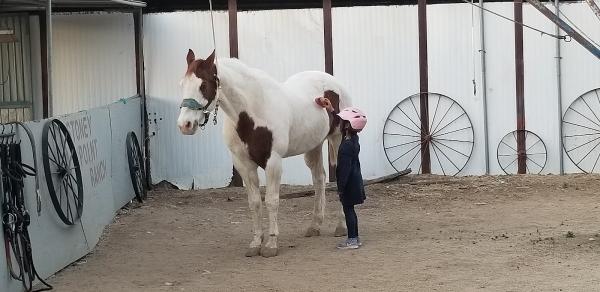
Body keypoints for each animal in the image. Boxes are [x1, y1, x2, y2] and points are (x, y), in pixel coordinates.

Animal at [176, 50, 350, 258]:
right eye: (182, 84)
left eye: (202, 85)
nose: (185, 125)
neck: (253, 112)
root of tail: (333, 82)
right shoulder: (243, 164)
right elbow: (255, 202)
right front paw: (255, 243)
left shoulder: (273, 162)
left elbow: (272, 201)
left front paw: (271, 245)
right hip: (313, 145)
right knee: (319, 178)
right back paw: (315, 226)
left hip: (338, 140)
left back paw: (342, 226)